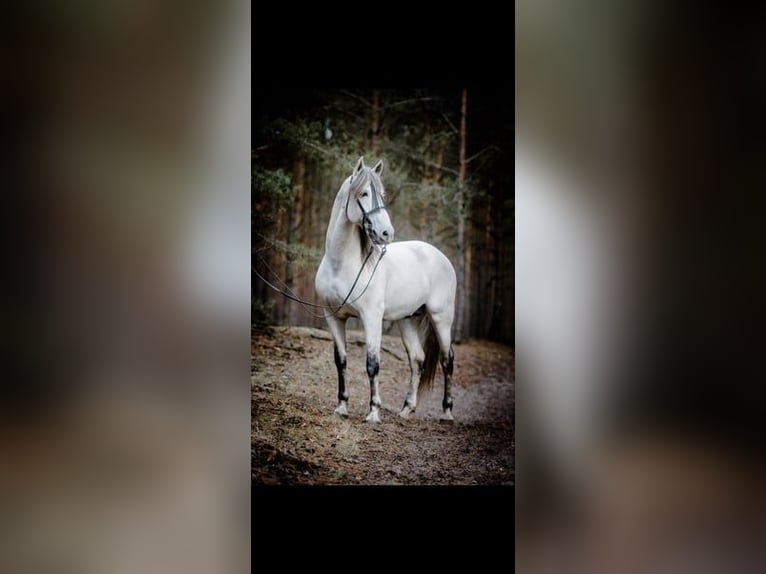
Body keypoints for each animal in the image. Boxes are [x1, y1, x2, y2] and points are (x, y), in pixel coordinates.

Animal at [316, 156, 460, 424]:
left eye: (382, 194)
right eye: (363, 193)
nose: (386, 233)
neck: (341, 264)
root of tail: (440, 256)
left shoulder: (372, 317)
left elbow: (372, 363)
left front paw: (373, 412)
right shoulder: (333, 316)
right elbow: (341, 360)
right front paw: (341, 407)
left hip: (441, 318)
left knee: (447, 360)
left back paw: (447, 412)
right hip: (408, 320)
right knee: (417, 359)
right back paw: (406, 409)